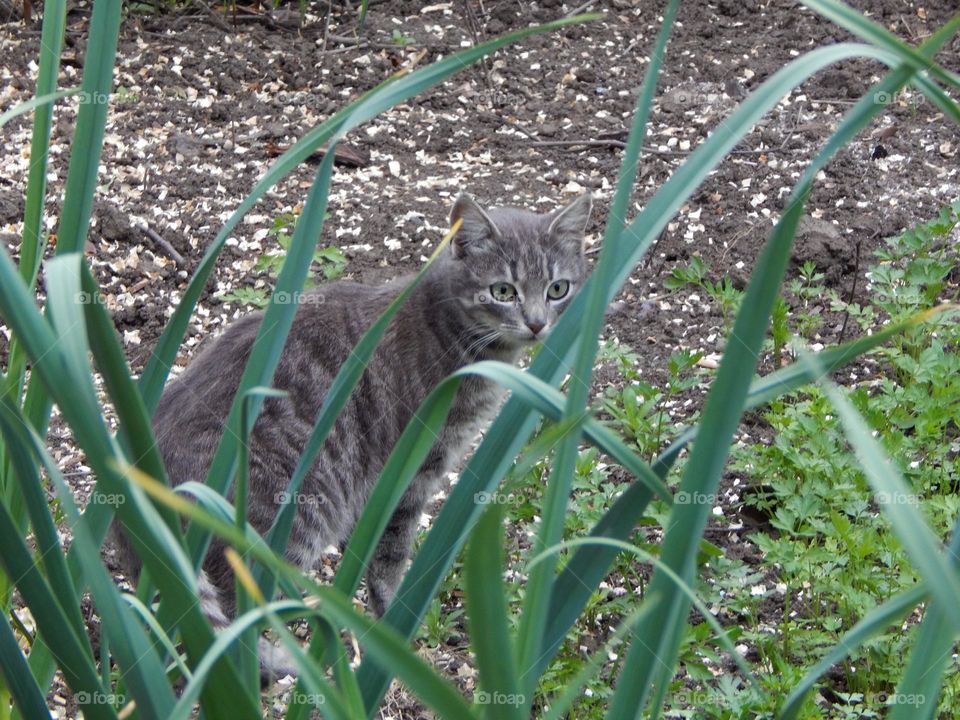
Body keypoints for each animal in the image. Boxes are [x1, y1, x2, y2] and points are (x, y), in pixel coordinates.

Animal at [113, 191, 592, 676]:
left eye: (557, 289)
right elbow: (391, 560)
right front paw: (399, 623)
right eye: (503, 291)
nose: (537, 324)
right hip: (287, 520)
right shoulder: (413, 473)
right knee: (225, 626)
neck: (450, 328)